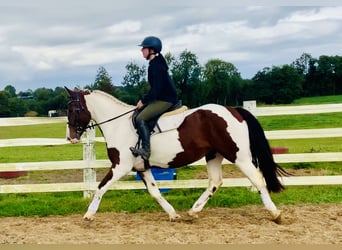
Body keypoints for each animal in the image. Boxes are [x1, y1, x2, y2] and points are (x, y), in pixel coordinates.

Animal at [65, 87, 288, 223]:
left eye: (73, 109)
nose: (70, 137)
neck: (118, 125)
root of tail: (233, 110)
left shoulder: (120, 166)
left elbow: (101, 187)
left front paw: (89, 215)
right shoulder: (142, 168)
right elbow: (155, 192)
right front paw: (173, 215)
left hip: (238, 156)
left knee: (257, 179)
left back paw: (275, 213)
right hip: (214, 155)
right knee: (215, 182)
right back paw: (193, 211)